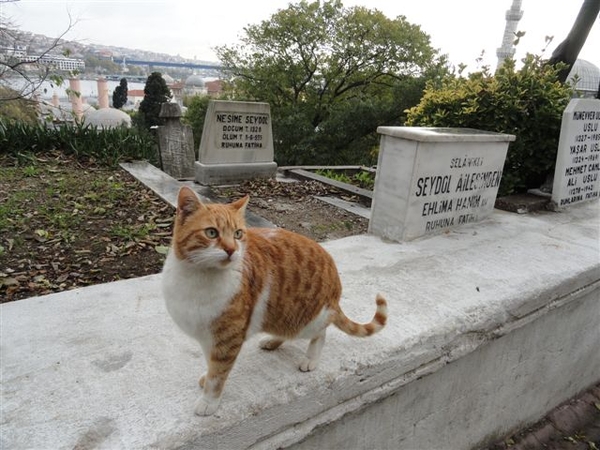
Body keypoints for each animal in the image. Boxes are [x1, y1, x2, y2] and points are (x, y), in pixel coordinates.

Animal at [162, 185, 386, 414]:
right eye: (211, 232)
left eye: (238, 234)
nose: (232, 250)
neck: (198, 278)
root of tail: (335, 285)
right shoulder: (208, 336)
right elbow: (210, 365)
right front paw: (206, 377)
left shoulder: (227, 339)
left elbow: (218, 376)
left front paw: (209, 401)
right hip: (282, 316)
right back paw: (271, 341)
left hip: (309, 321)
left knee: (321, 333)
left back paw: (310, 358)